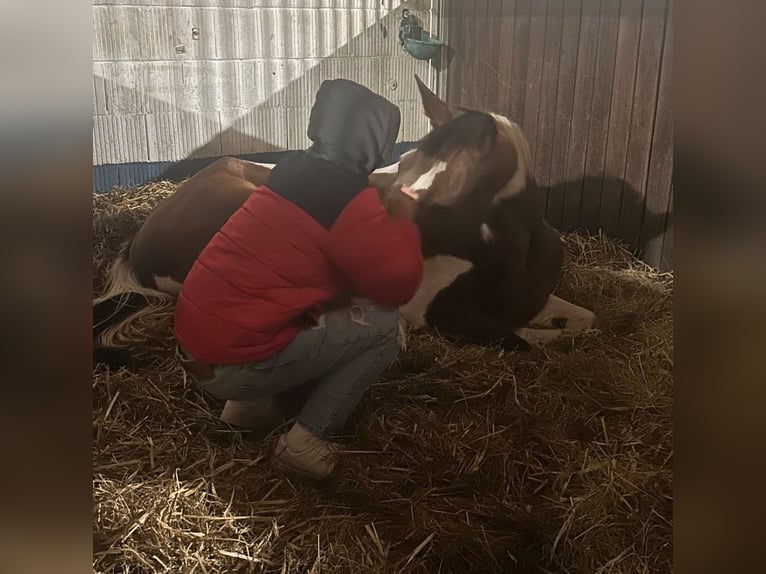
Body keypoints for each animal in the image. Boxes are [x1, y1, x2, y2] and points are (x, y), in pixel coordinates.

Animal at [91, 75, 592, 368]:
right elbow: (526, 341)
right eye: (410, 156)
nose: (385, 231)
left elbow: (584, 321)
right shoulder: (440, 313)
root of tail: (141, 243)